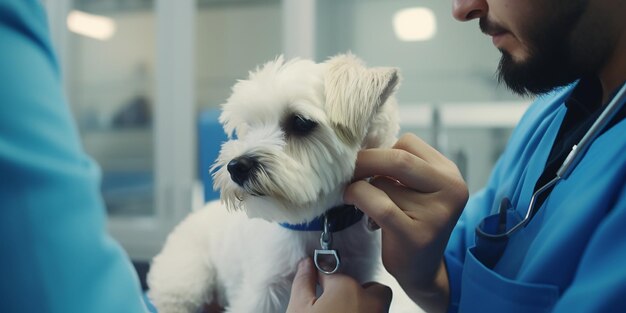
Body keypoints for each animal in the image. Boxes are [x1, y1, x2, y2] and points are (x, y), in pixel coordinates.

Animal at [146, 53, 410, 312]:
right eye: (249, 127)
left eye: (301, 122)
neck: (318, 226)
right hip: (185, 283)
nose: (236, 167)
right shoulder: (262, 292)